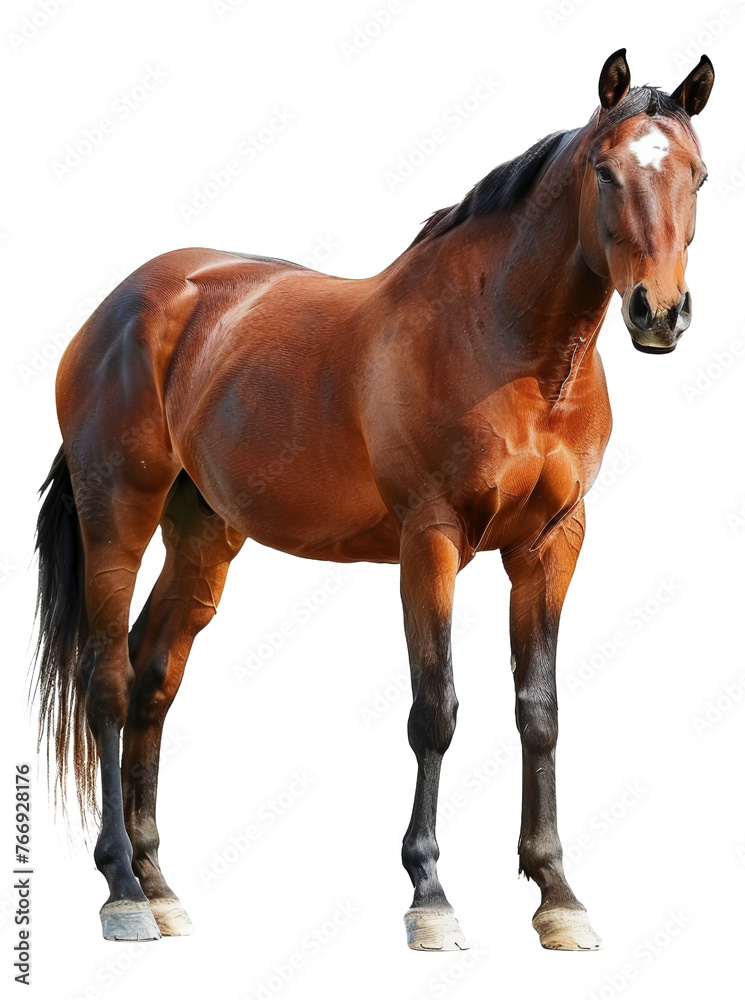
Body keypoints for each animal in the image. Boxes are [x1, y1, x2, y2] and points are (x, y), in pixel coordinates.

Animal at [32, 48, 714, 951]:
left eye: (698, 176)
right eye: (604, 171)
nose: (659, 314)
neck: (506, 340)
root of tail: (124, 303)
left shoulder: (550, 544)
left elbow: (539, 712)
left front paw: (557, 898)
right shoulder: (431, 541)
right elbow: (436, 710)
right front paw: (430, 896)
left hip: (204, 536)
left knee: (153, 677)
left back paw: (159, 883)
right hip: (118, 514)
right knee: (106, 679)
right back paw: (121, 892)